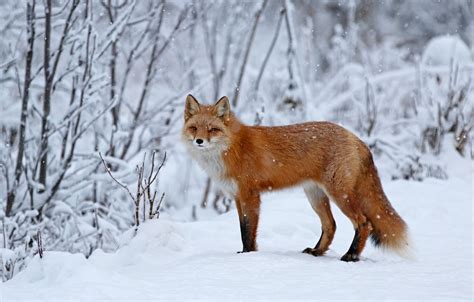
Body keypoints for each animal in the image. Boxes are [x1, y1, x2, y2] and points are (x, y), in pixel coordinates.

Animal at [183, 95, 410, 262]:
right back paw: (317, 252)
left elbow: (247, 231)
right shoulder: (238, 197)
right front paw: (249, 253)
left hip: (339, 194)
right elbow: (243, 229)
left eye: (212, 129)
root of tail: (356, 138)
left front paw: (247, 255)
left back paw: (351, 255)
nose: (199, 141)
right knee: (331, 225)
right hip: (315, 195)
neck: (231, 148)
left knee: (364, 223)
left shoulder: (250, 195)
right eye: (194, 128)